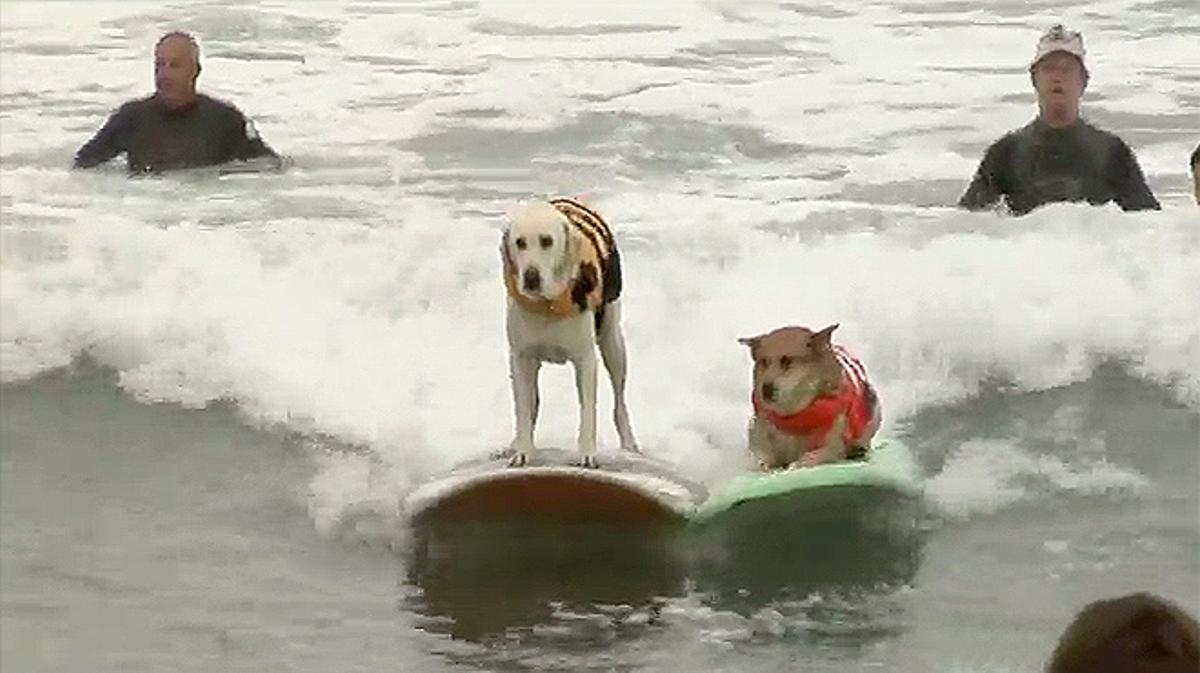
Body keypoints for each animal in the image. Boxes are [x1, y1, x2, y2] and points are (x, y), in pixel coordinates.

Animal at [499, 196, 638, 465]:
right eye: (520, 242)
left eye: (547, 241)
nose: (531, 277)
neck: (548, 305)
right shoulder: (520, 357)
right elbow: (523, 407)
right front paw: (522, 449)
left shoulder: (585, 360)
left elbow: (588, 410)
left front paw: (587, 453)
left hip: (613, 344)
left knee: (619, 399)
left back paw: (629, 443)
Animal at [734, 323, 878, 470]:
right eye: (764, 361)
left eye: (787, 361)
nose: (766, 390)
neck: (793, 416)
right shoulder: (759, 432)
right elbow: (762, 454)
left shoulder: (832, 443)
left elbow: (814, 456)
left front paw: (794, 465)